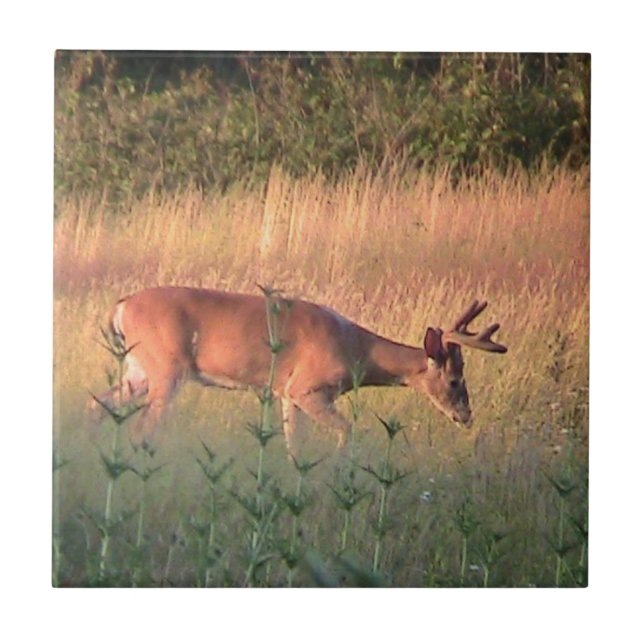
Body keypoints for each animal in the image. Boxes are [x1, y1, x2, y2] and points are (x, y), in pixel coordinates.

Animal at [92, 286, 507, 454]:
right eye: (454, 380)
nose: (466, 416)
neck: (356, 351)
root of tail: (121, 306)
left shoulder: (286, 395)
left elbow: (294, 445)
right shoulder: (308, 389)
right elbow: (347, 430)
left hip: (138, 370)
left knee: (99, 403)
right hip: (166, 368)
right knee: (142, 427)